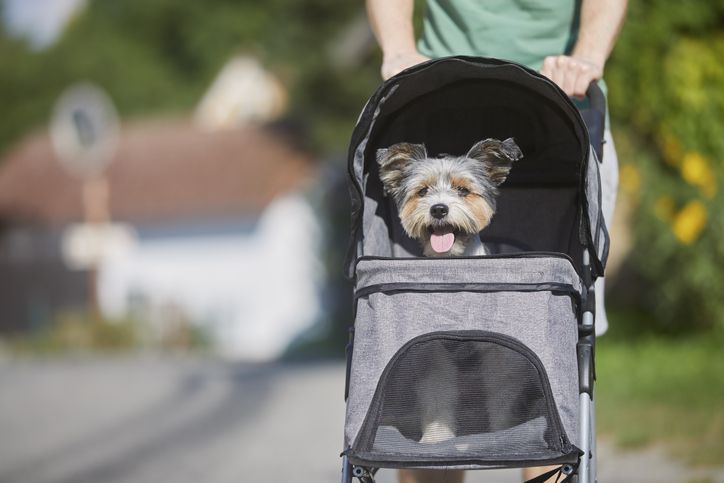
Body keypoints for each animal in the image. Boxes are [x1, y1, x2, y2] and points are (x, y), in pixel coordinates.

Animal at [378, 137, 520, 446]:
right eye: (423, 191)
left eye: (463, 190)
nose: (439, 209)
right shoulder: (434, 357)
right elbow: (437, 397)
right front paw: (436, 440)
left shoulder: (497, 357)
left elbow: (501, 398)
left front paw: (502, 435)